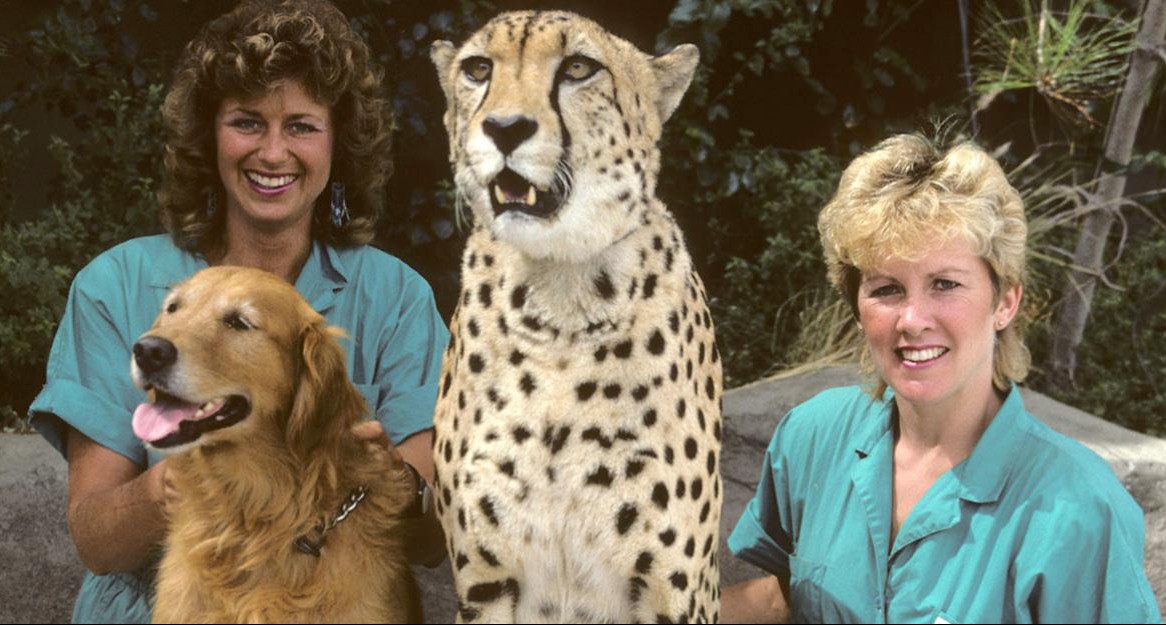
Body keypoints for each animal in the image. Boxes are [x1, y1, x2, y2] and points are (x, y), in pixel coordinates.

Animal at [429, 12, 718, 620]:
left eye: (579, 69)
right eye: (478, 69)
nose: (505, 128)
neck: (558, 293)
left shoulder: (672, 590)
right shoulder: (486, 584)